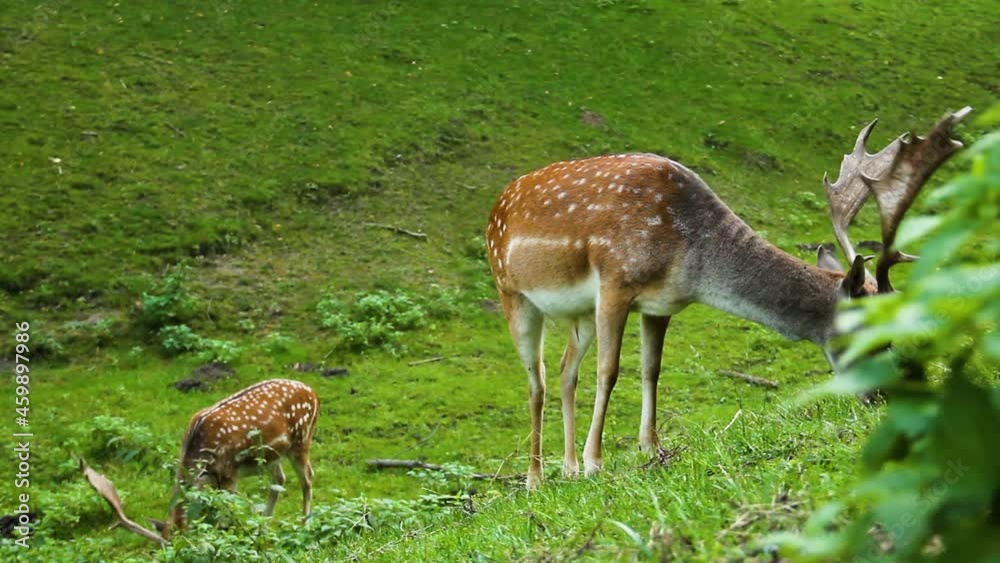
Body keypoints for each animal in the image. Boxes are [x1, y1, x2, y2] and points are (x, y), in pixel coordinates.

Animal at [82, 378, 320, 544]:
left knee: (308, 478)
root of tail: (313, 393)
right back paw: (263, 528)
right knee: (279, 479)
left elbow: (225, 515)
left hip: (302, 439)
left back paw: (305, 525)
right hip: (271, 455)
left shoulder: (230, 473)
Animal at [485, 107, 971, 488]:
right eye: (872, 335)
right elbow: (610, 371)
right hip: (512, 292)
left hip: (577, 313)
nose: (883, 398)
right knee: (537, 380)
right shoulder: (616, 282)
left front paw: (651, 448)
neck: (689, 254)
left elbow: (651, 370)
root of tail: (496, 206)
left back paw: (564, 469)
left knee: (565, 371)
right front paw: (595, 462)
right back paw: (536, 478)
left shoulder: (660, 304)